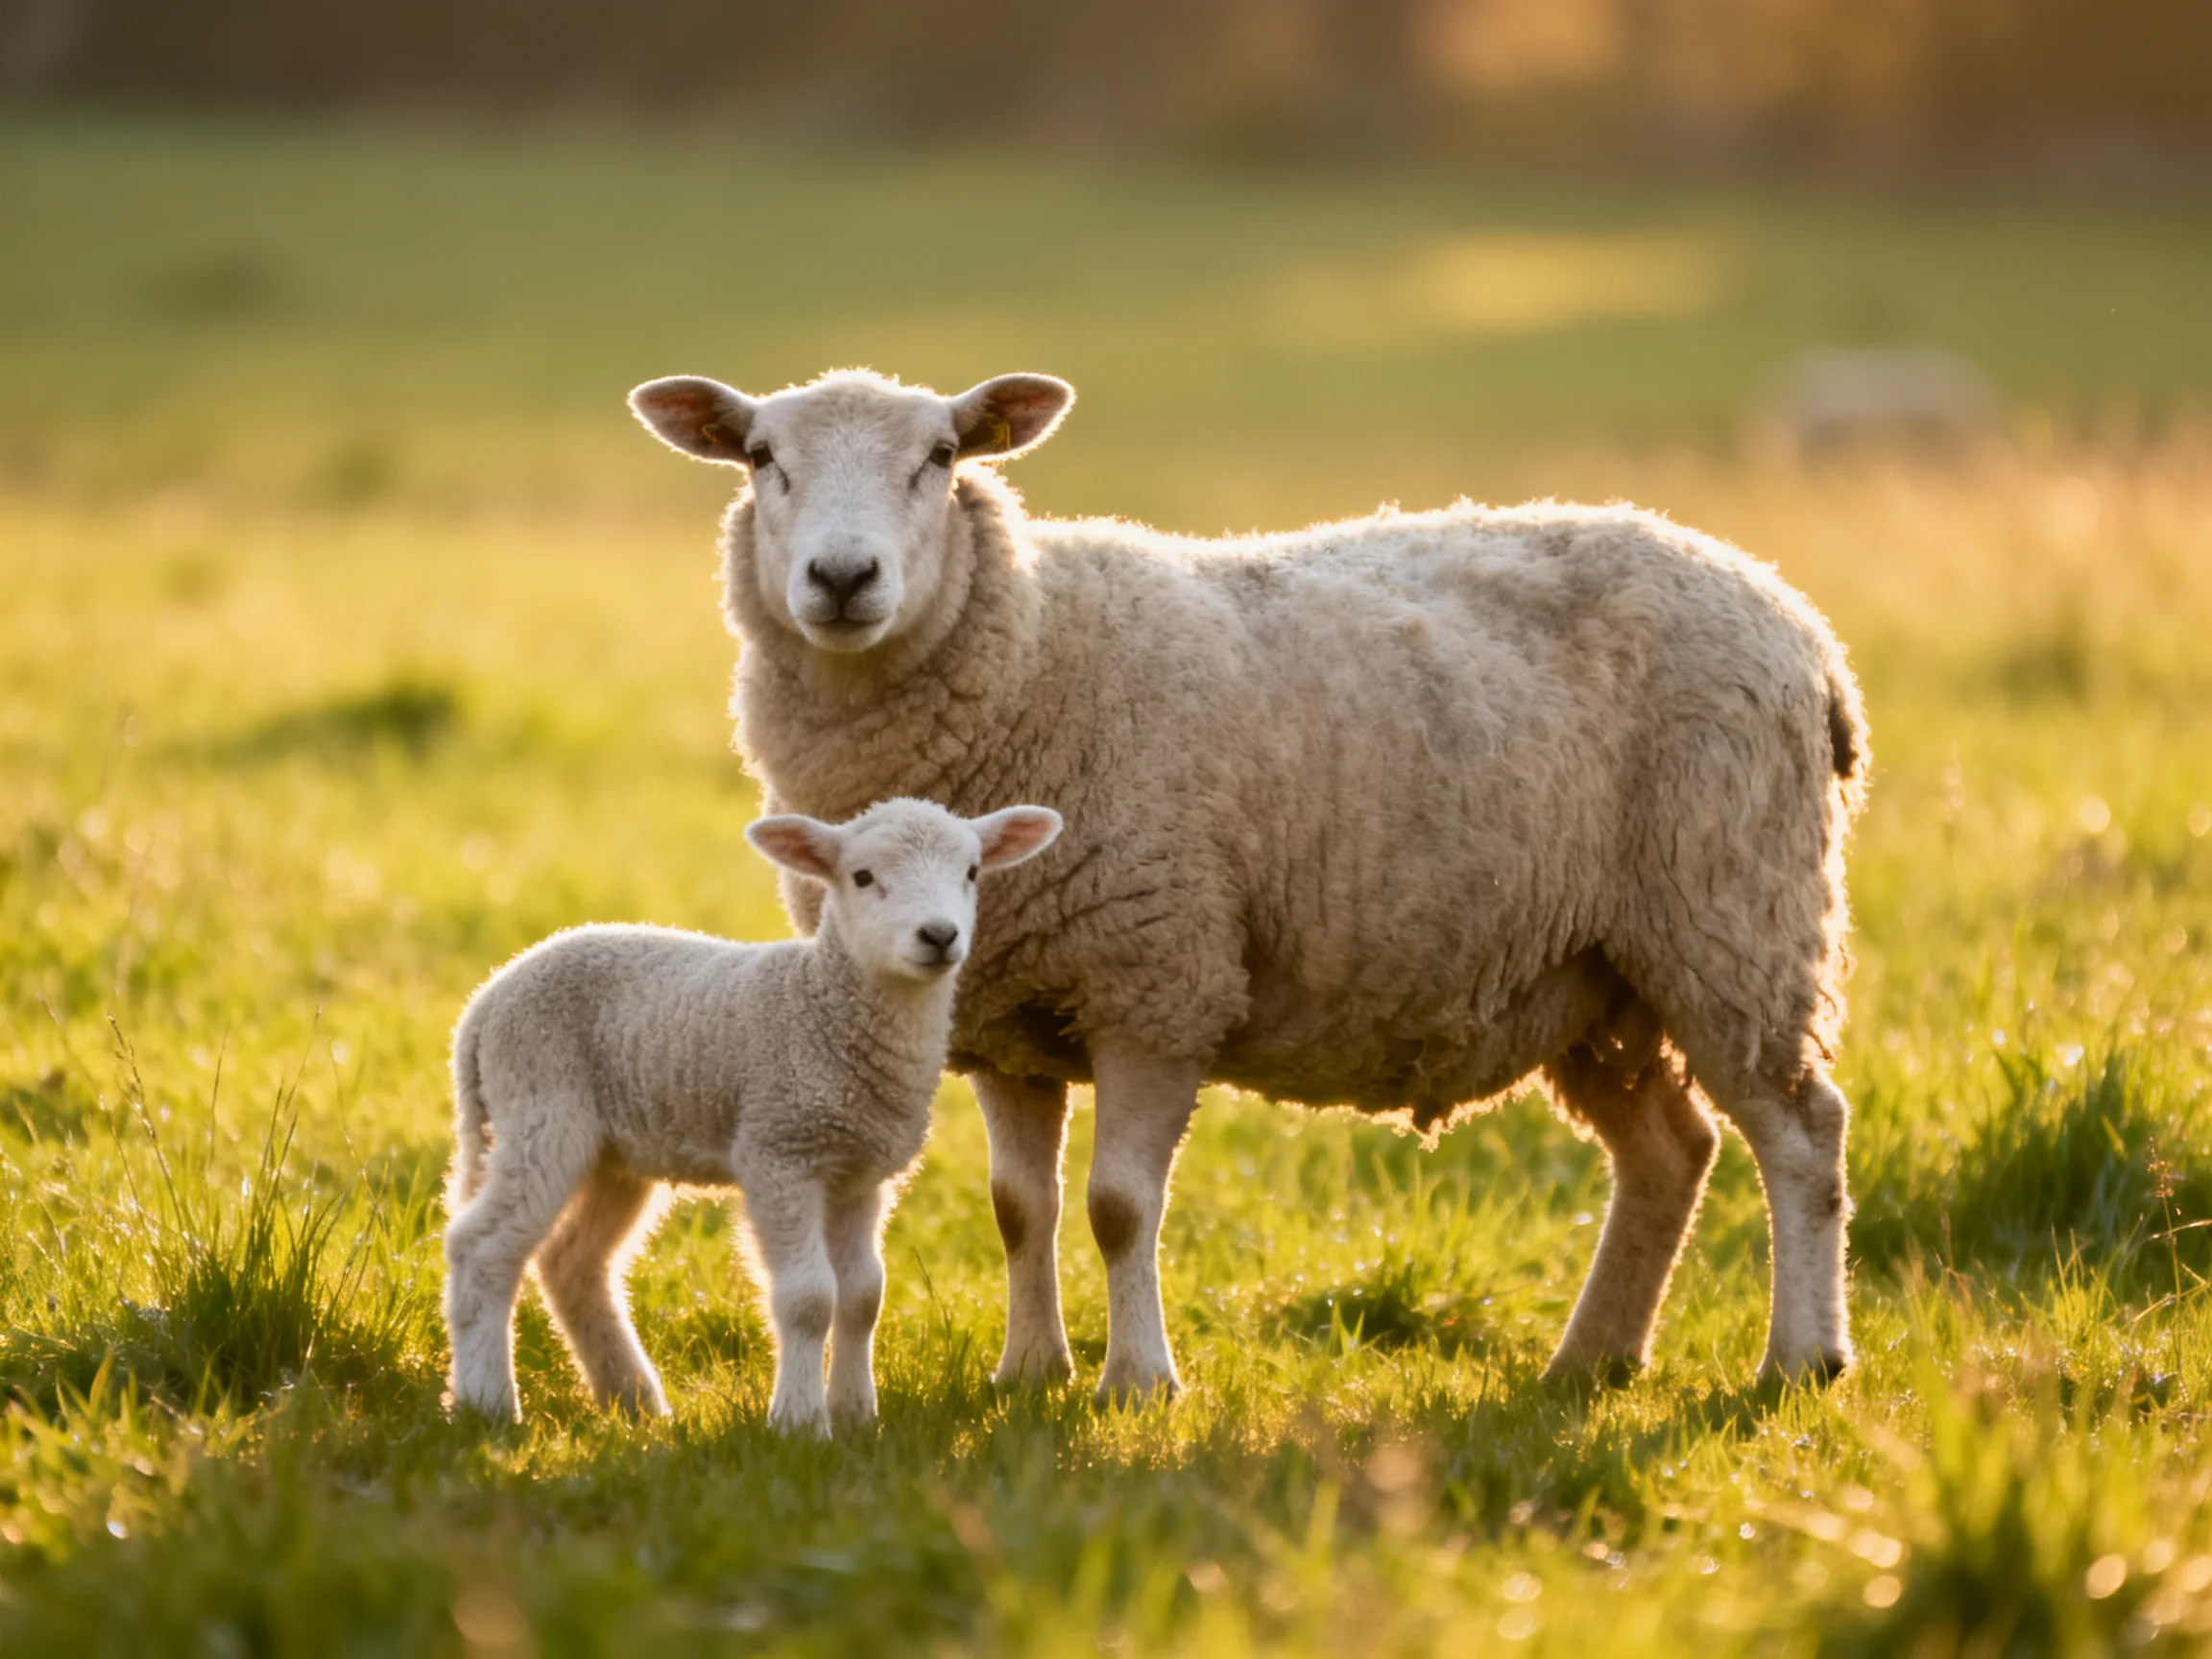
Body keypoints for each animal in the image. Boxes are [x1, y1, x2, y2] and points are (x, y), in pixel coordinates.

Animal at [442, 795, 1063, 1434]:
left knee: (573, 1263)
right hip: (540, 1107)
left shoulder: (860, 1173)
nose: (939, 935)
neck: (822, 1004)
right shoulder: (779, 1152)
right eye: (863, 877)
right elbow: (810, 1299)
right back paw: (489, 1403)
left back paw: (634, 1400)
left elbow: (863, 1296)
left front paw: (856, 1416)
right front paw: (799, 1423)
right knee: (479, 1249)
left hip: (613, 1153)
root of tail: (484, 1002)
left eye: (972, 872)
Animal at [628, 366, 1871, 1400]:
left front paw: (1137, 1384)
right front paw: (1028, 1374)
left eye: (941, 456)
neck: (1031, 651)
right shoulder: (1000, 1008)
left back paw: (1801, 1359)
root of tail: (1801, 624)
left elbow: (1119, 1208)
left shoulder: (1157, 980)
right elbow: (1020, 1211)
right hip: (1593, 972)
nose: (842, 578)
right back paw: (1592, 1360)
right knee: (1671, 1152)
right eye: (760, 457)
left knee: (1801, 1134)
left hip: (1732, 915)